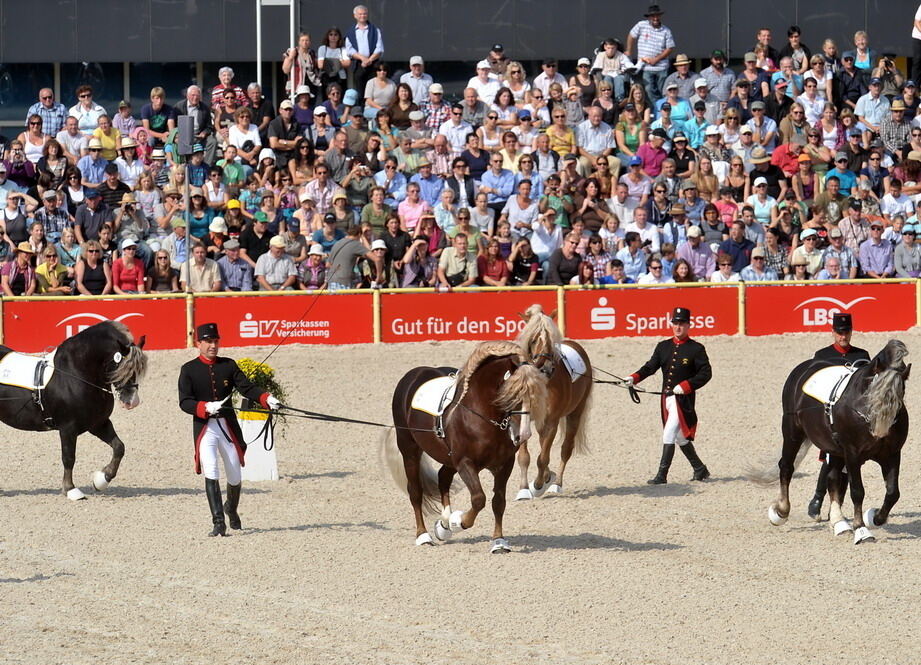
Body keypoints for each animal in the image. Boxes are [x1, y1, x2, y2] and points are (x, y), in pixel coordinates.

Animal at [0, 320, 146, 498]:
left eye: (137, 370)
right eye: (120, 366)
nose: (132, 402)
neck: (74, 374)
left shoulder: (98, 423)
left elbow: (119, 447)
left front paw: (102, 479)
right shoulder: (67, 428)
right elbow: (69, 457)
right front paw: (71, 489)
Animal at [382, 340, 548, 552]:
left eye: (536, 396)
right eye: (512, 395)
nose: (523, 435)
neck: (480, 415)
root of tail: (413, 375)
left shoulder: (504, 465)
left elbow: (498, 502)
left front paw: (499, 542)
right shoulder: (465, 463)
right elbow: (479, 499)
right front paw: (458, 521)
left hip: (448, 458)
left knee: (443, 477)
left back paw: (443, 526)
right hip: (409, 450)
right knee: (415, 492)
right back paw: (424, 536)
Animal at [512, 302, 592, 498]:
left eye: (550, 339)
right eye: (533, 340)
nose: (548, 368)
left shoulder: (551, 422)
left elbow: (543, 458)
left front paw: (538, 484)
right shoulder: (521, 419)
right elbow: (525, 457)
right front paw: (524, 489)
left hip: (575, 414)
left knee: (565, 449)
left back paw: (556, 484)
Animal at [752, 340, 908, 544]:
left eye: (901, 392)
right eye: (874, 390)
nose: (879, 430)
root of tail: (805, 366)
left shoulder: (891, 455)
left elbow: (892, 493)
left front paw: (874, 517)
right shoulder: (852, 454)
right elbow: (857, 491)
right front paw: (861, 530)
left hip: (833, 448)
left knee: (833, 478)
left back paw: (839, 523)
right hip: (792, 431)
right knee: (786, 467)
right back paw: (781, 512)